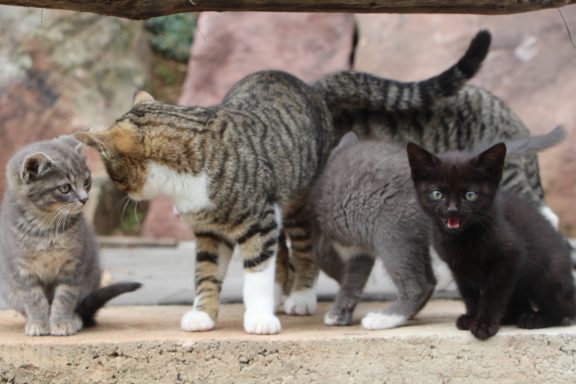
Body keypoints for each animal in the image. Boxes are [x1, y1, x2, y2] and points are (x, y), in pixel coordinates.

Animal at [0, 137, 141, 336]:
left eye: (87, 181)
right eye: (65, 188)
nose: (85, 199)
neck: (46, 227)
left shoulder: (73, 266)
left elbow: (65, 297)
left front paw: (62, 323)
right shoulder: (22, 269)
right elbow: (34, 298)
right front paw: (38, 323)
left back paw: (75, 319)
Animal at [68, 30, 490, 332]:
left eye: (114, 174)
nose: (121, 194)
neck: (187, 178)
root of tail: (309, 87)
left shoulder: (259, 219)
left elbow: (256, 271)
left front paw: (259, 317)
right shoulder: (209, 232)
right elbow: (206, 271)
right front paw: (203, 313)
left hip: (299, 202)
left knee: (300, 250)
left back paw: (299, 295)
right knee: (281, 254)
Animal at [408, 127, 572, 340]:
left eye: (470, 195)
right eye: (437, 194)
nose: (452, 211)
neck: (462, 239)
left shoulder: (510, 258)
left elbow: (493, 294)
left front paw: (484, 324)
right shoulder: (459, 269)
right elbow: (470, 294)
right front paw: (471, 317)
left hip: (548, 277)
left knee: (564, 312)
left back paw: (534, 319)